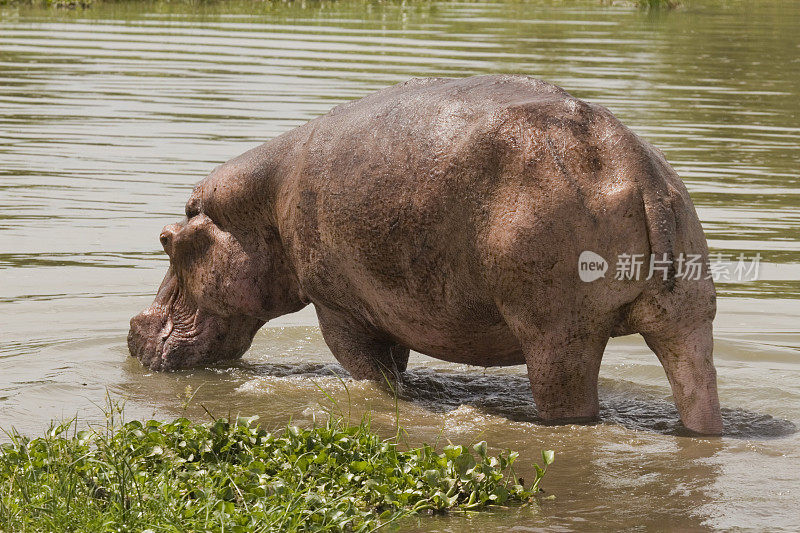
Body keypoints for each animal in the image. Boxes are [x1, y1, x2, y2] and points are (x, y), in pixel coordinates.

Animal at [128, 74, 720, 432]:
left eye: (165, 239)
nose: (133, 333)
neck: (260, 207)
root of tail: (633, 167)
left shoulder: (339, 308)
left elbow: (370, 371)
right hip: (689, 312)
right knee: (697, 383)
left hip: (559, 334)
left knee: (569, 402)